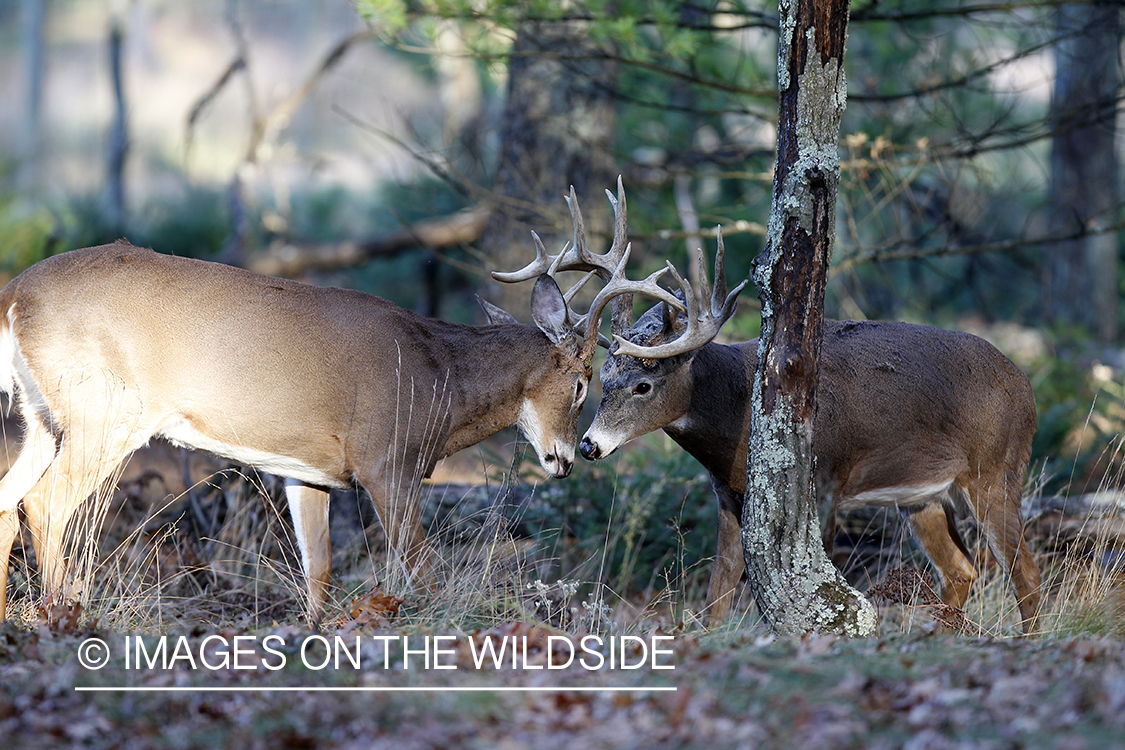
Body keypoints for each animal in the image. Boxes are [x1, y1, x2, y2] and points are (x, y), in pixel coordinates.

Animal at [0, 179, 666, 620]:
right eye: (583, 380)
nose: (568, 458)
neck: (441, 379)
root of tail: (15, 292)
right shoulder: (387, 462)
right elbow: (418, 567)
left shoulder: (310, 471)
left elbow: (317, 569)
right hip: (105, 411)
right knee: (45, 502)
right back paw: (62, 613)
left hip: (43, 417)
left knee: (10, 498)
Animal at [580, 235, 1044, 634]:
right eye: (602, 378)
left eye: (643, 385)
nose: (588, 445)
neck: (736, 408)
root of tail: (1025, 385)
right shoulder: (727, 493)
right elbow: (718, 593)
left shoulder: (825, 480)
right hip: (923, 496)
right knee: (961, 569)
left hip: (996, 468)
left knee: (1025, 571)